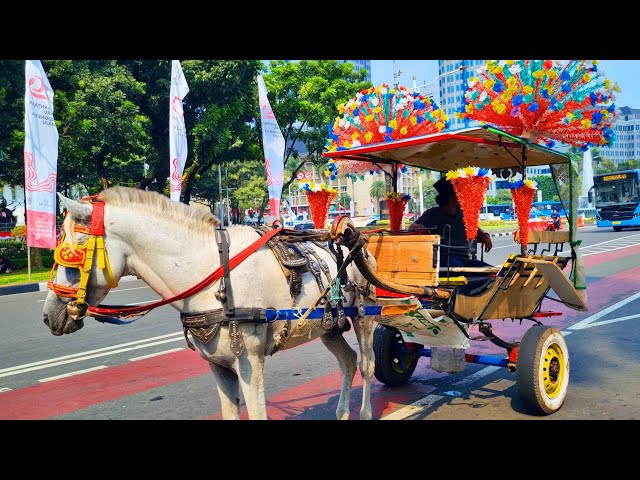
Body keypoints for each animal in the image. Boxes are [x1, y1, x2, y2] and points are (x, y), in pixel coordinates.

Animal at [42, 188, 380, 420]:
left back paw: (364, 411)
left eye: (71, 255)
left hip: (363, 316)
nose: (49, 315)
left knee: (366, 364)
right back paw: (342, 412)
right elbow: (230, 413)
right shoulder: (218, 365)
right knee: (348, 361)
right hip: (329, 327)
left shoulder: (250, 363)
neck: (212, 273)